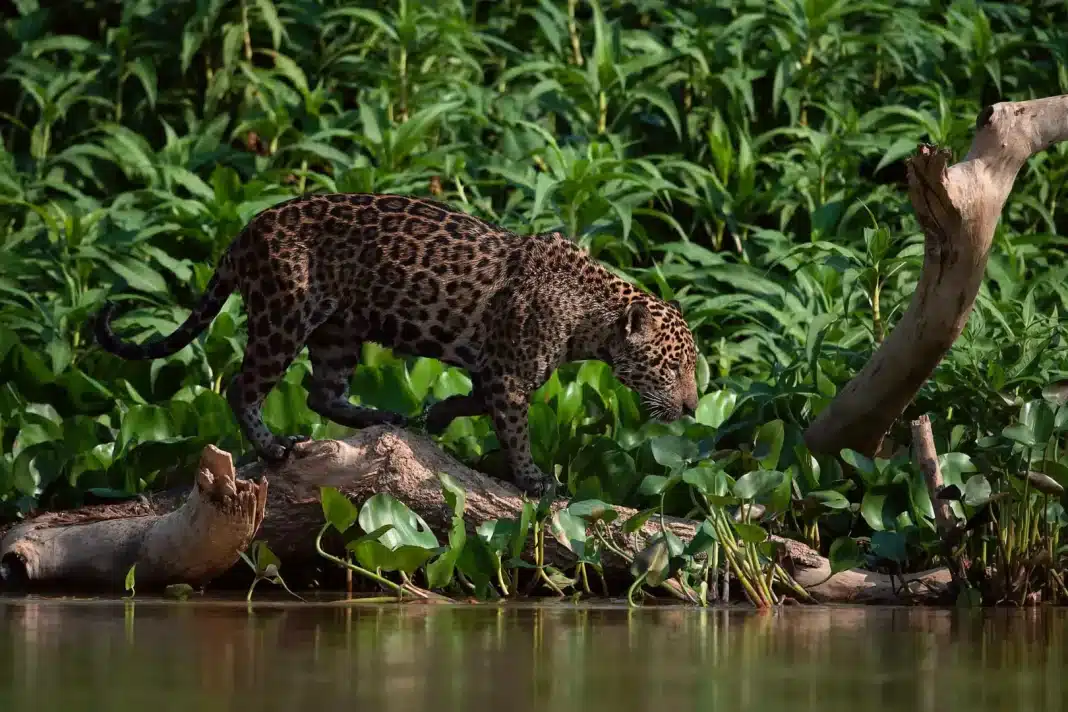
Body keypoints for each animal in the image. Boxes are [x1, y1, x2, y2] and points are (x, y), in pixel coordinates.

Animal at [93, 193, 700, 496]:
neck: (590, 318)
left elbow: (473, 402)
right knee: (243, 386)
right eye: (672, 369)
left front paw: (438, 413)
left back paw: (385, 417)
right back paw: (273, 448)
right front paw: (534, 481)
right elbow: (515, 432)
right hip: (283, 314)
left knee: (320, 392)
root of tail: (245, 230)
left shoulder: (495, 370)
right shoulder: (509, 375)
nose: (694, 408)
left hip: (340, 328)